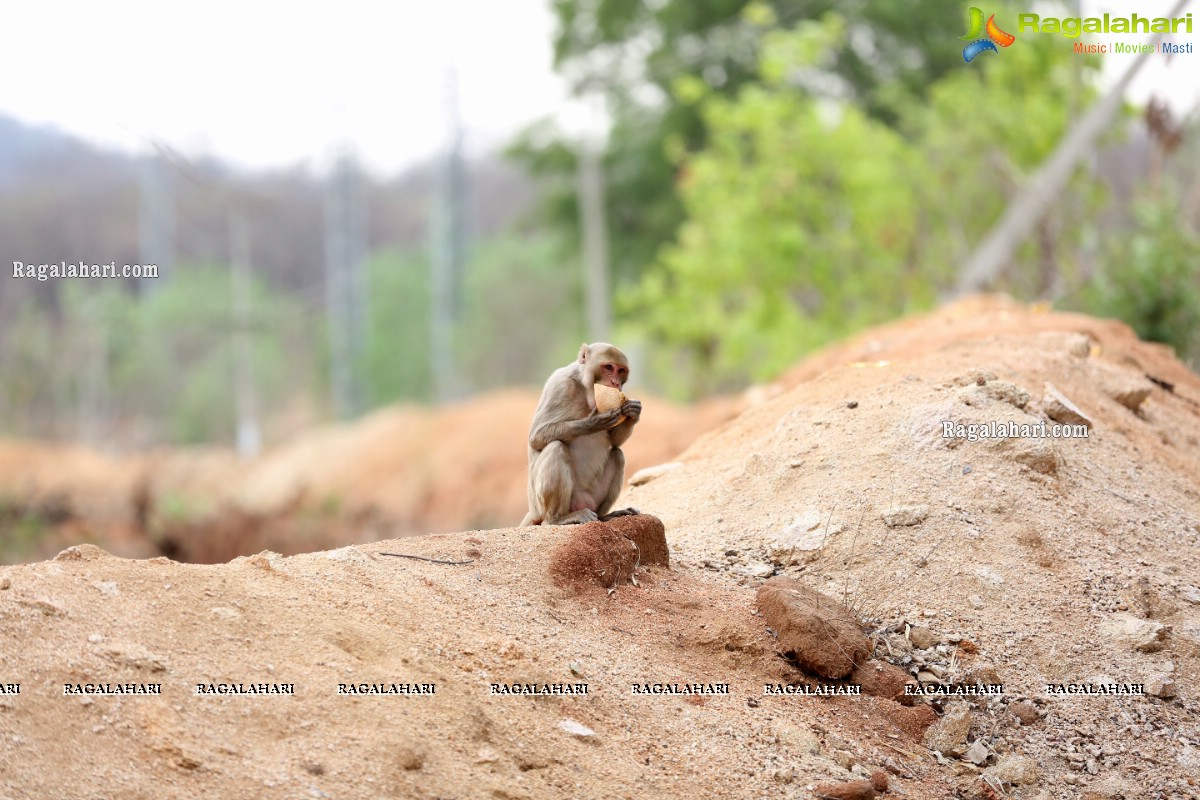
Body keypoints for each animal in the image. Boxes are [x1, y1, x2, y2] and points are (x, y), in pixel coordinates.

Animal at [520, 343, 643, 525]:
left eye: (621, 370)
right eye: (608, 367)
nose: (615, 383)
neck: (586, 388)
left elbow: (615, 442)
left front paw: (633, 411)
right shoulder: (560, 385)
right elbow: (536, 437)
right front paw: (593, 423)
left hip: (592, 499)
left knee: (618, 455)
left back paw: (605, 516)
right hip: (539, 505)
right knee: (556, 447)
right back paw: (558, 518)